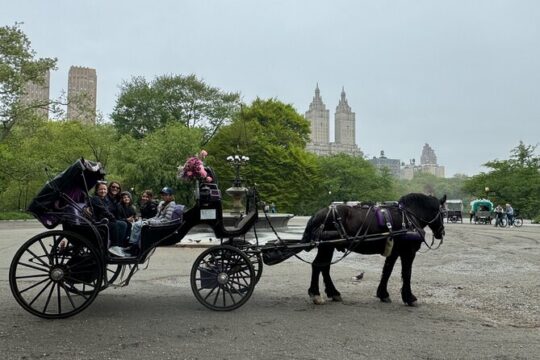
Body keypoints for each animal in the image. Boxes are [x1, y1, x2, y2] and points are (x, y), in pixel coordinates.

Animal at [302, 194, 446, 306]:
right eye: (444, 213)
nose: (442, 233)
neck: (409, 217)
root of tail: (318, 213)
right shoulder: (408, 252)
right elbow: (407, 273)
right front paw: (409, 298)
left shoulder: (394, 252)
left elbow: (387, 271)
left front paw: (383, 294)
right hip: (326, 246)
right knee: (318, 265)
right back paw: (316, 294)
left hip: (328, 247)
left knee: (324, 267)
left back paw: (333, 293)